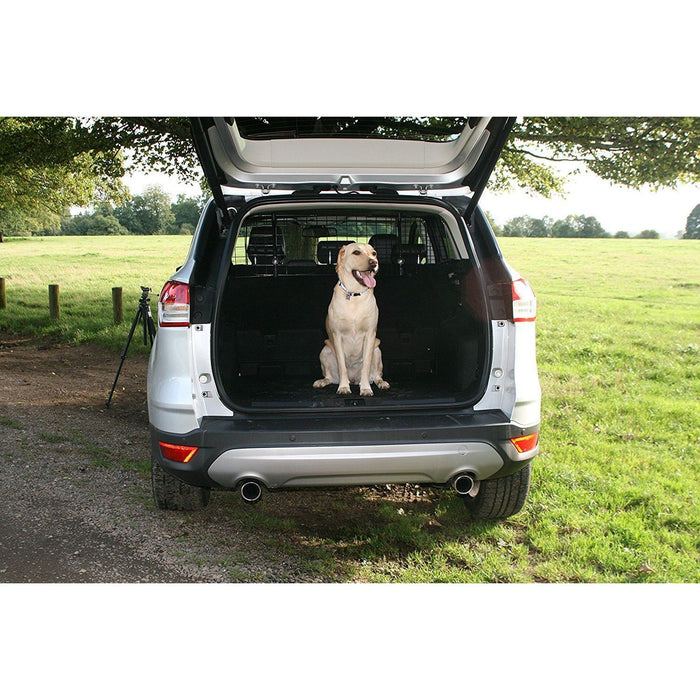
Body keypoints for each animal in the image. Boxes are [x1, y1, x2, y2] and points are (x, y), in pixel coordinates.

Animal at [314, 242, 392, 396]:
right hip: (325, 350)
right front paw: (344, 387)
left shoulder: (370, 335)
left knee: (376, 375)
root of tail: (354, 380)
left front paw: (366, 388)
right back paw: (322, 382)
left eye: (374, 253)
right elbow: (342, 366)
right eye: (356, 252)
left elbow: (366, 366)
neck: (355, 294)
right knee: (330, 377)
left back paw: (379, 383)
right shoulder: (337, 335)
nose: (374, 262)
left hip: (377, 350)